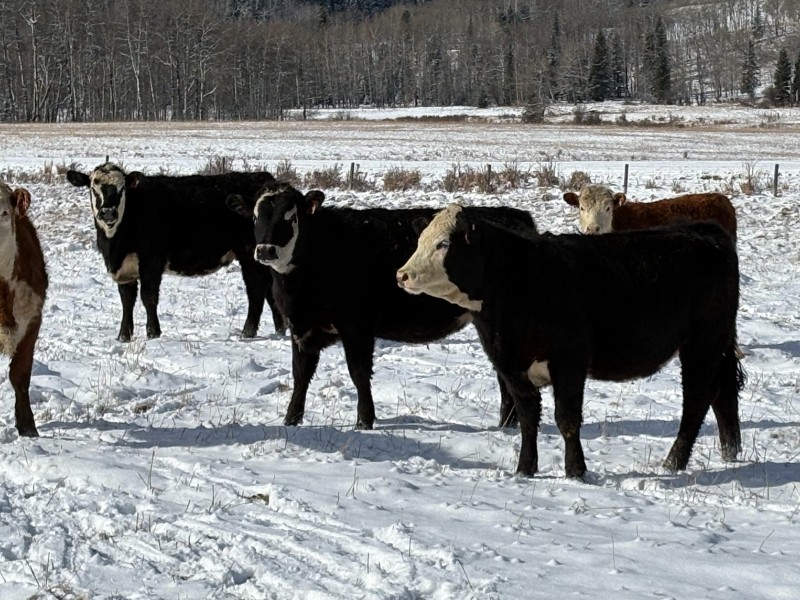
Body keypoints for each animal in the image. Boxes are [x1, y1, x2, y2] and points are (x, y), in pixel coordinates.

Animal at [66, 162, 285, 342]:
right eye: (93, 188)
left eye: (121, 189)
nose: (108, 212)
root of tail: (263, 179)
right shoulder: (124, 268)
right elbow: (126, 300)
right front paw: (123, 336)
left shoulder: (152, 260)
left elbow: (148, 297)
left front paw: (153, 333)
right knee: (269, 290)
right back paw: (280, 330)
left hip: (249, 254)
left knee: (256, 289)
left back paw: (247, 332)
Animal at [226, 182, 538, 430]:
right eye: (256, 216)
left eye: (290, 217)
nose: (266, 250)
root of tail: (516, 216)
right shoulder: (301, 327)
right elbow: (300, 374)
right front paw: (291, 419)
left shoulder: (356, 326)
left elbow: (359, 373)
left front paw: (364, 421)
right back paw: (506, 423)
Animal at [397, 203, 744, 478]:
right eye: (420, 240)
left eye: (443, 244)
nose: (402, 275)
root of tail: (705, 231)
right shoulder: (512, 367)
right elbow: (528, 420)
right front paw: (525, 470)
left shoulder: (569, 362)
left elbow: (566, 419)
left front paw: (576, 471)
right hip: (716, 344)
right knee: (723, 391)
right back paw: (729, 452)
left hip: (702, 343)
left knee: (697, 398)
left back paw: (674, 462)